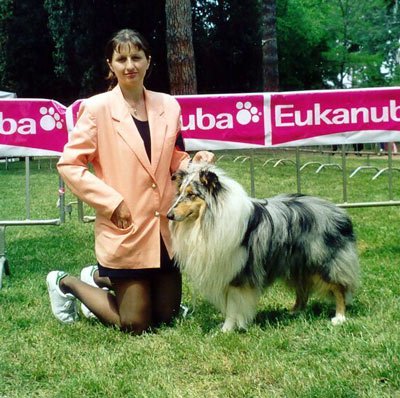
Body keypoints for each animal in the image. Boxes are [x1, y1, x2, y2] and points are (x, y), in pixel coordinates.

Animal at [167, 163, 360, 332]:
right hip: (297, 264)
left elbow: (232, 306)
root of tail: (339, 211)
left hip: (324, 261)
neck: (208, 220)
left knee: (339, 288)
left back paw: (339, 317)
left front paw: (226, 330)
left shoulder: (238, 273)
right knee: (303, 290)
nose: (169, 215)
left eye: (192, 194)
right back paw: (294, 312)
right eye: (179, 193)